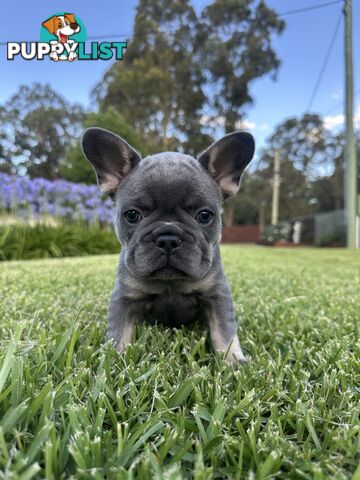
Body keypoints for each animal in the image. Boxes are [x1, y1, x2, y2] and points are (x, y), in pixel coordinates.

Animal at [82, 127, 253, 364]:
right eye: (132, 215)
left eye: (205, 215)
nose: (168, 238)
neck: (170, 282)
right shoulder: (125, 298)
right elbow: (120, 332)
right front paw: (114, 361)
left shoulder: (216, 295)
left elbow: (224, 331)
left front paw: (232, 360)